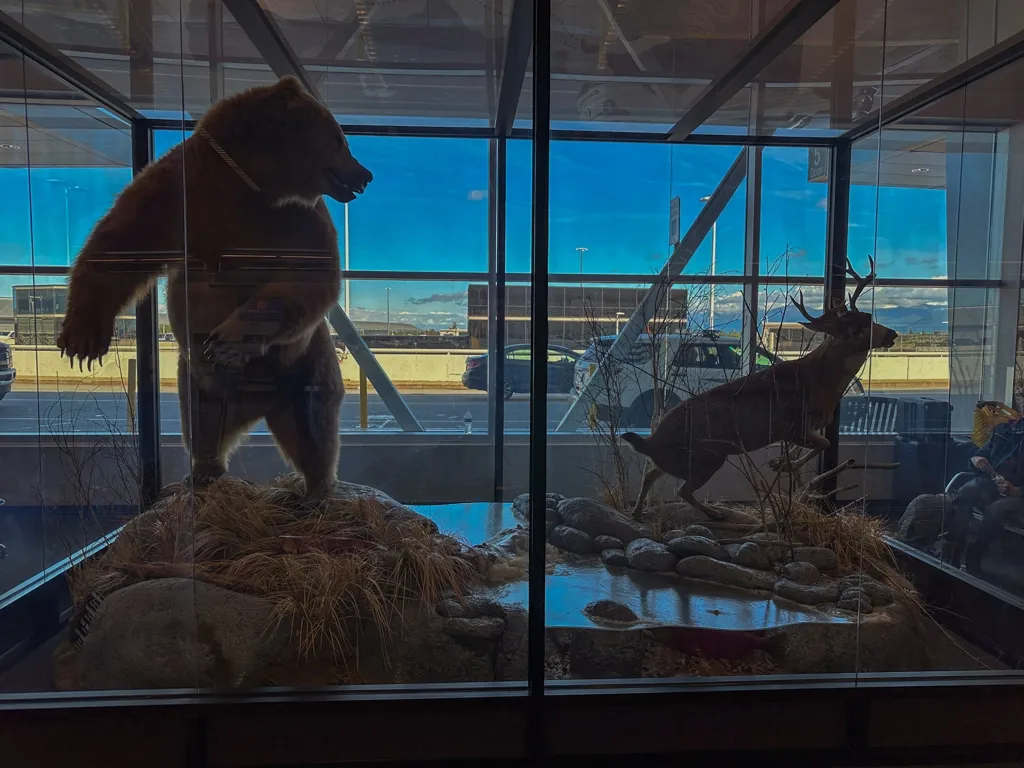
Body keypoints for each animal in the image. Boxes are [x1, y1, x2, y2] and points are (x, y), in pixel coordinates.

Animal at [56, 75, 372, 501]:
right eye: (340, 139)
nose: (365, 174)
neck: (252, 181)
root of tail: (256, 404)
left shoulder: (299, 219)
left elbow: (310, 275)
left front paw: (231, 335)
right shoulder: (177, 194)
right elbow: (119, 244)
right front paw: (82, 340)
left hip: (304, 365)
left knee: (314, 424)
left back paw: (315, 490)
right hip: (198, 384)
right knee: (202, 424)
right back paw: (200, 474)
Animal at [614, 259, 897, 524]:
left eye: (870, 317)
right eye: (856, 329)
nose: (892, 333)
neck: (821, 383)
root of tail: (652, 440)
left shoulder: (805, 428)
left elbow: (808, 449)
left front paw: (782, 463)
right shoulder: (793, 425)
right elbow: (823, 443)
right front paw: (786, 464)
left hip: (681, 458)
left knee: (651, 472)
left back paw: (637, 512)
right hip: (707, 455)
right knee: (681, 489)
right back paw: (715, 513)